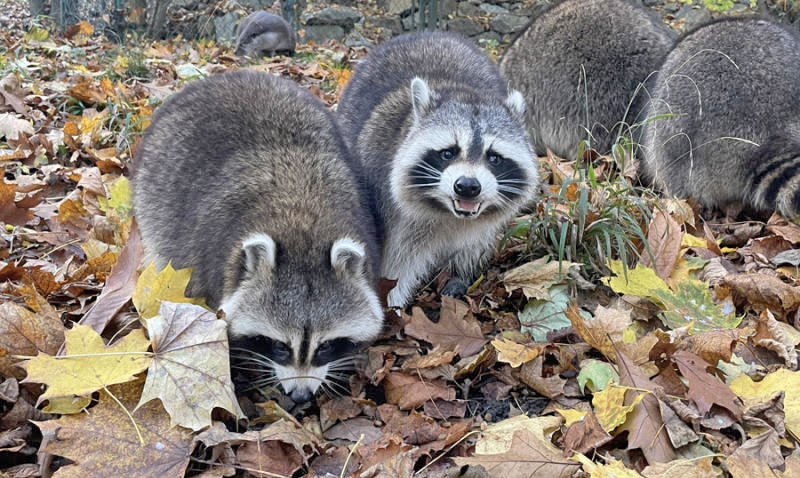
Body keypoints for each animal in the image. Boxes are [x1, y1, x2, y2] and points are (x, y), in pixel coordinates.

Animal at [133, 71, 382, 402]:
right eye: (279, 346)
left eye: (325, 346)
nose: (300, 396)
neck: (303, 224)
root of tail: (229, 76)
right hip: (152, 187)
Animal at [334, 33, 540, 308]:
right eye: (448, 153)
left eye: (494, 157)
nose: (467, 186)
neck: (448, 215)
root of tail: (432, 33)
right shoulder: (389, 208)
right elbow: (396, 265)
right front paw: (392, 306)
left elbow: (475, 241)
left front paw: (461, 272)